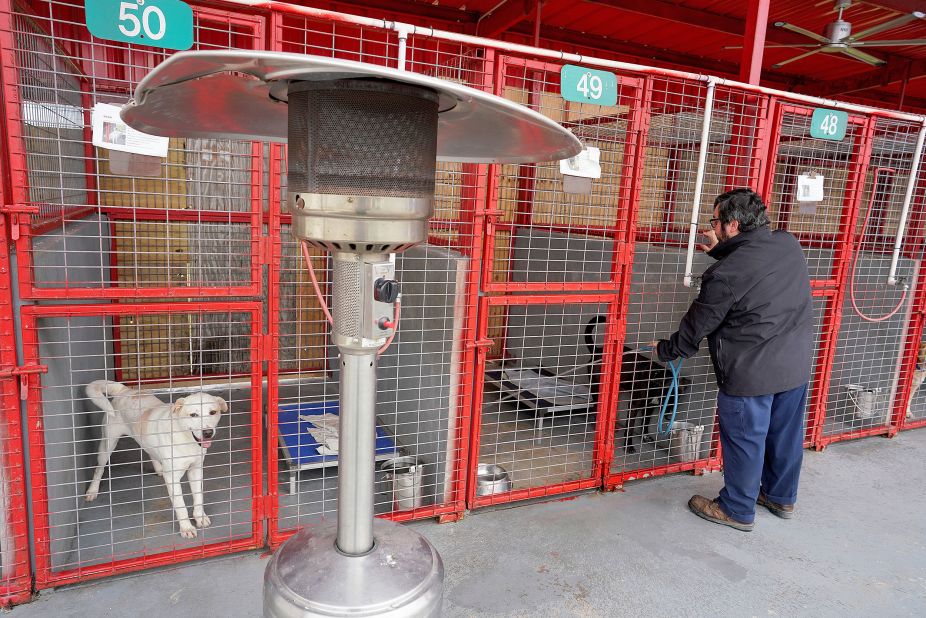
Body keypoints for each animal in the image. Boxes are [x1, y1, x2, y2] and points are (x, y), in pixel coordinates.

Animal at [85, 378, 228, 536]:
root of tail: (124, 390)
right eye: (193, 415)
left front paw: (200, 517)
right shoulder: (172, 478)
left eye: (213, 412)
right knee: (99, 468)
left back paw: (159, 468)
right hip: (107, 444)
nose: (208, 433)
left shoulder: (196, 470)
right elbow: (180, 505)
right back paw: (92, 490)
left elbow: (198, 497)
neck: (186, 438)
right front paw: (186, 527)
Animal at [588, 318, 688, 452]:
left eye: (677, 398)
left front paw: (645, 437)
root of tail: (597, 351)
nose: (668, 417)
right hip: (597, 388)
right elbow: (630, 427)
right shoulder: (634, 406)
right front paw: (628, 445)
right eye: (666, 396)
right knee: (595, 407)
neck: (654, 379)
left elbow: (645, 423)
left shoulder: (649, 407)